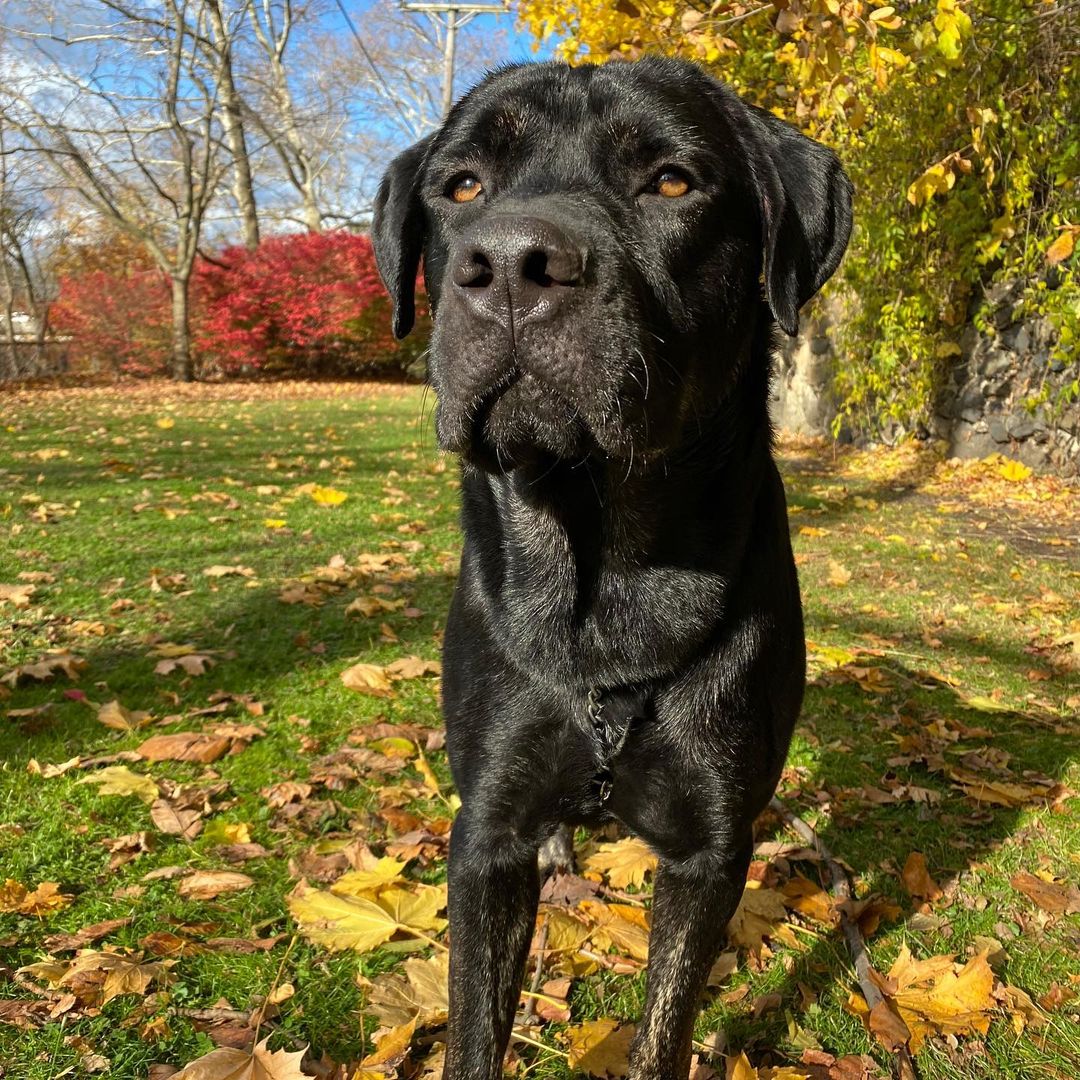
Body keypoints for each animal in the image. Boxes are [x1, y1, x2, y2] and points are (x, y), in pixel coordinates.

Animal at [371, 56, 851, 1080]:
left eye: (671, 182)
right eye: (462, 186)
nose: (512, 260)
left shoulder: (712, 847)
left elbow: (665, 1025)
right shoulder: (484, 832)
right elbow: (474, 1029)